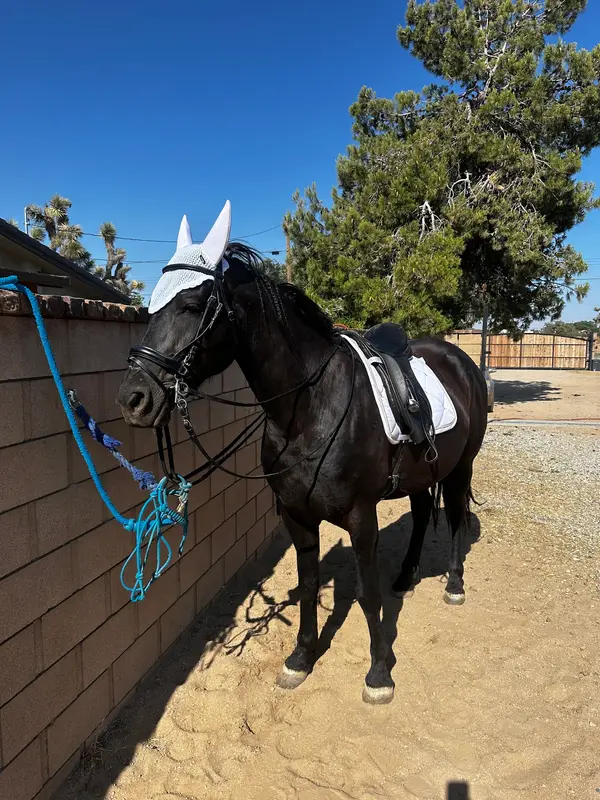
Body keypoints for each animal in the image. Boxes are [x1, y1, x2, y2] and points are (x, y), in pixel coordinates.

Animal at [118, 241, 488, 704]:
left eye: (192, 305)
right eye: (152, 307)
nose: (134, 399)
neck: (312, 407)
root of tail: (462, 361)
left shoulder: (361, 518)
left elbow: (367, 594)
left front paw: (379, 672)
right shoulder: (296, 515)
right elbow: (309, 584)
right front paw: (301, 657)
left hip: (461, 468)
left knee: (455, 517)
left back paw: (454, 584)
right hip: (421, 474)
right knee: (422, 515)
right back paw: (405, 577)